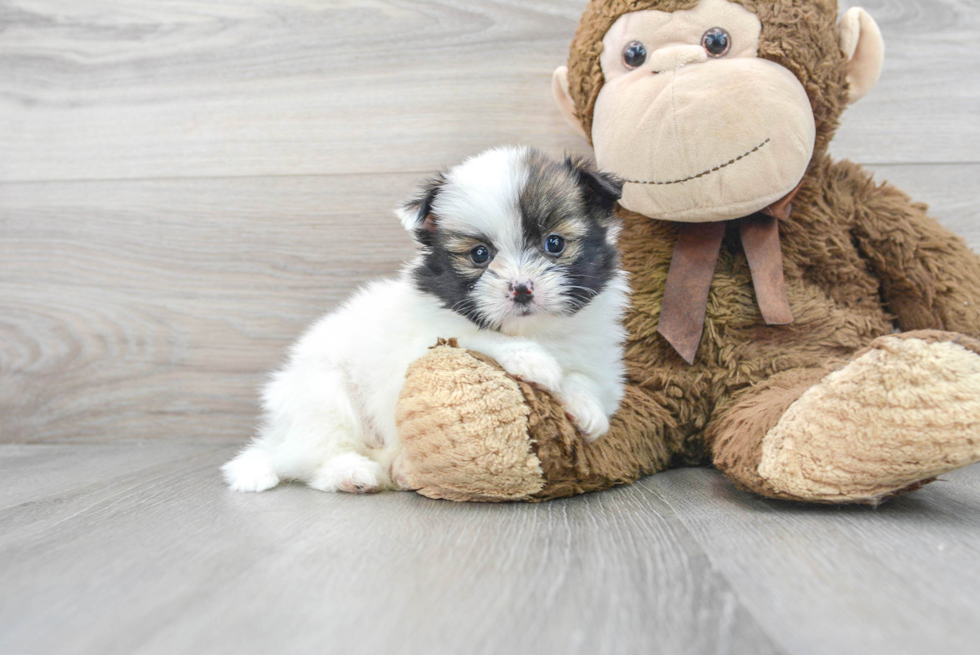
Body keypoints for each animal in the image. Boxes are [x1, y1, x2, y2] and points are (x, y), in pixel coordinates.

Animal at [222, 146, 628, 494]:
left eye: (554, 244)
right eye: (480, 254)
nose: (521, 289)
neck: (534, 330)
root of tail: (278, 436)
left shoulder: (600, 359)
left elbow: (588, 380)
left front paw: (586, 408)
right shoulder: (422, 344)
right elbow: (473, 335)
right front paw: (533, 360)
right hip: (322, 394)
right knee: (314, 456)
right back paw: (352, 473)